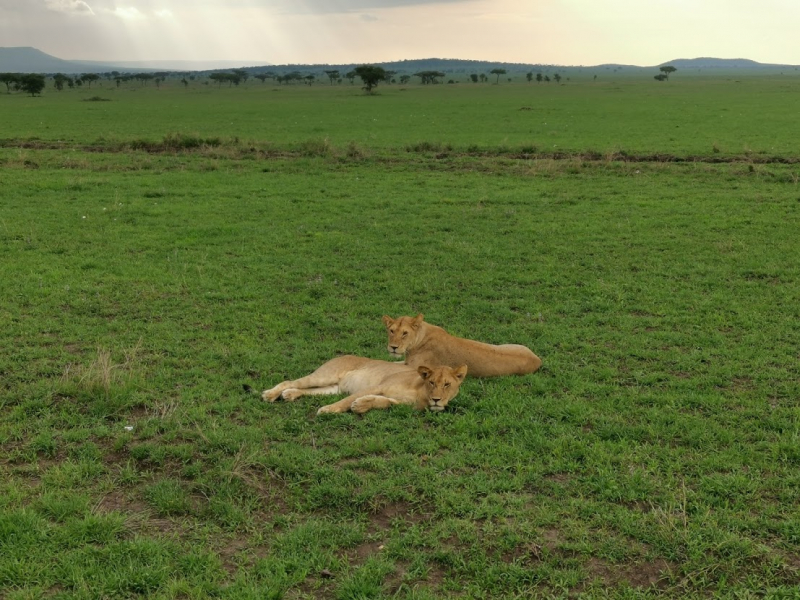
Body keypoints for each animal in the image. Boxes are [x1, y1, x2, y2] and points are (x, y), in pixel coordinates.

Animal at [260, 354, 468, 414]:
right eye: (432, 382)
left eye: (447, 385)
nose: (437, 400)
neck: (421, 392)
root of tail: (341, 355)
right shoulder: (378, 386)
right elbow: (345, 402)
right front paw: (327, 410)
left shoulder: (402, 404)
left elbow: (385, 402)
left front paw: (361, 405)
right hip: (324, 375)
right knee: (290, 381)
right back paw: (270, 395)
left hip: (332, 388)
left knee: (307, 390)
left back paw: (289, 394)